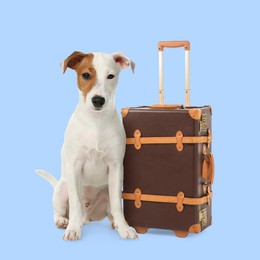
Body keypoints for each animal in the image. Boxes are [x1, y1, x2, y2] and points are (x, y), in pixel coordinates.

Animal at [37, 51, 138, 241]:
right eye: (86, 75)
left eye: (110, 76)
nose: (98, 100)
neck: (96, 122)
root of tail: (88, 217)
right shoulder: (74, 166)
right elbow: (75, 203)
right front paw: (73, 230)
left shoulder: (115, 167)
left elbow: (117, 204)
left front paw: (124, 228)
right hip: (61, 190)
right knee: (61, 210)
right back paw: (64, 221)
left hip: (106, 191)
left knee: (111, 210)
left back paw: (113, 223)